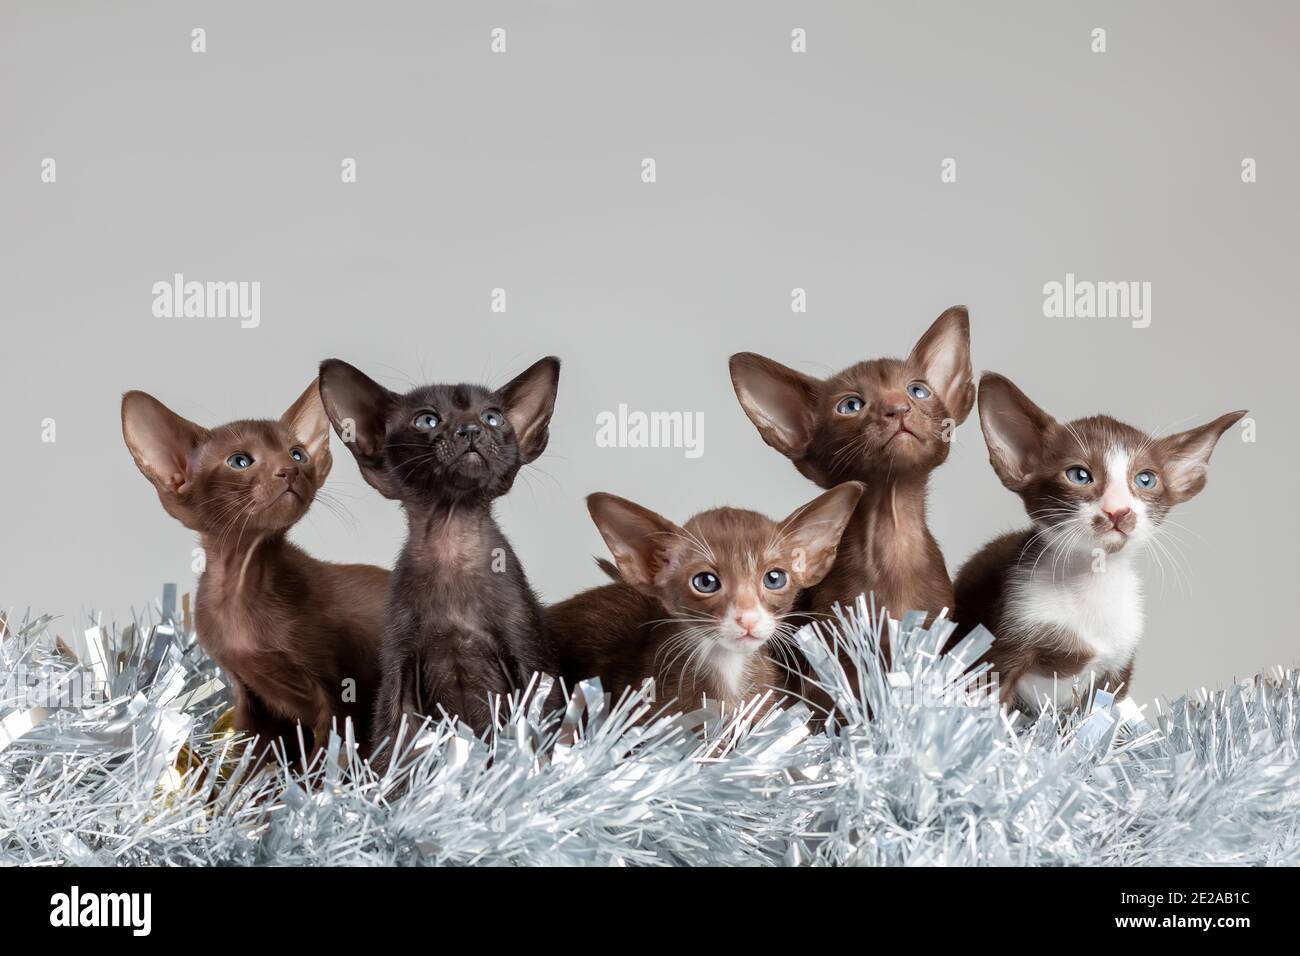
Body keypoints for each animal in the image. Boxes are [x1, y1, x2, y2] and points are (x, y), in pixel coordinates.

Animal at [121, 382, 384, 764]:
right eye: (240, 461)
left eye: (297, 454)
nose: (289, 470)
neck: (242, 579)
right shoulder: (251, 696)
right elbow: (249, 759)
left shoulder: (342, 694)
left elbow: (327, 761)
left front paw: (315, 783)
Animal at [317, 356, 561, 764]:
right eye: (427, 420)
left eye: (493, 417)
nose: (471, 429)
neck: (452, 544)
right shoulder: (399, 670)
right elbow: (392, 750)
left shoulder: (528, 658)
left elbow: (545, 740)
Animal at [956, 371, 1248, 712]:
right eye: (1079, 475)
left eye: (1146, 479)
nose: (1118, 510)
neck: (1092, 580)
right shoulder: (1007, 643)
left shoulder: (1118, 666)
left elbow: (1106, 715)